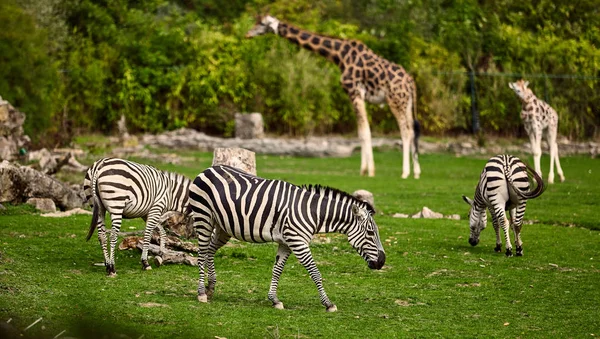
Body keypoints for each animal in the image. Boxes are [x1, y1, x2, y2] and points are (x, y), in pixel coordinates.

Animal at [188, 166, 384, 312]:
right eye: (370, 233)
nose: (382, 262)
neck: (312, 212)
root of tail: (209, 169)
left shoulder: (286, 243)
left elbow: (277, 270)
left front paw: (274, 300)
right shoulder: (298, 242)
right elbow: (315, 273)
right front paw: (328, 304)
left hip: (223, 227)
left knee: (210, 250)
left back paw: (211, 287)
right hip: (204, 217)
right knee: (202, 252)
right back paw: (201, 293)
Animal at [246, 14, 420, 179]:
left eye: (262, 23)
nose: (248, 34)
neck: (339, 56)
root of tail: (411, 82)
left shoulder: (354, 92)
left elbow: (365, 131)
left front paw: (369, 171)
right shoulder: (356, 95)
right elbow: (361, 132)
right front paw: (364, 170)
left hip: (395, 101)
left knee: (405, 131)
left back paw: (405, 172)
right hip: (407, 103)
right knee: (412, 130)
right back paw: (416, 172)